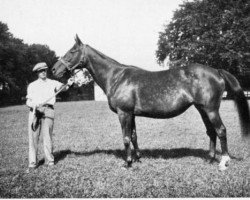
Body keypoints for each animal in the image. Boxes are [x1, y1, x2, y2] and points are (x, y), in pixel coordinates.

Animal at [51, 35, 249, 170]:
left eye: (72, 52)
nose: (54, 69)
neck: (116, 76)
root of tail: (216, 71)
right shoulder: (131, 114)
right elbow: (133, 136)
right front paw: (138, 158)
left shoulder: (124, 113)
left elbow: (125, 138)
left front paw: (128, 163)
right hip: (202, 109)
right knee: (211, 132)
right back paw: (209, 159)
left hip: (211, 109)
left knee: (221, 130)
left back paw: (224, 162)